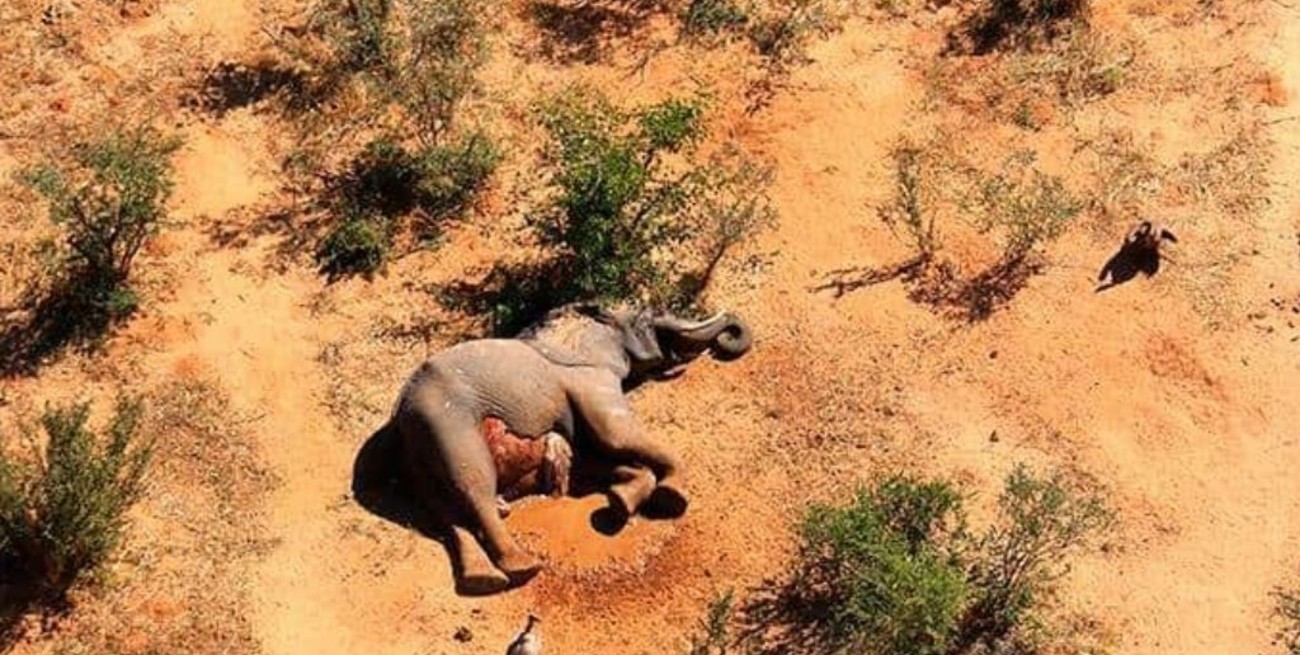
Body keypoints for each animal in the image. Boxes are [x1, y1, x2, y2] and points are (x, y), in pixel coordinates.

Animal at [390, 303, 752, 594]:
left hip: (417, 450)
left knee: (446, 514)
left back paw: (484, 581)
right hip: (447, 424)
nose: (726, 338)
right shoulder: (587, 377)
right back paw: (523, 567)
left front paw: (621, 502)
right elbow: (615, 434)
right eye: (648, 319)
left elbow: (589, 458)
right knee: (475, 489)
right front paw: (672, 496)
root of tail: (399, 416)